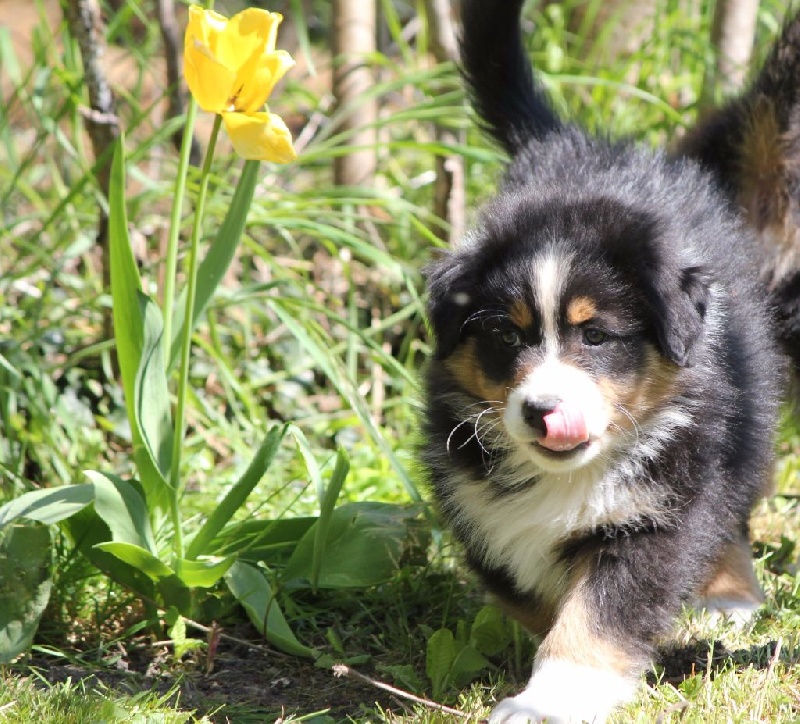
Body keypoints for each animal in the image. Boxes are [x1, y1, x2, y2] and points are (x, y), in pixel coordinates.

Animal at [421, 1, 797, 721]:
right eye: (505, 337)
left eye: (594, 336)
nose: (542, 411)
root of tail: (578, 146)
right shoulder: (476, 503)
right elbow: (535, 592)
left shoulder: (661, 509)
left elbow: (598, 610)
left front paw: (550, 698)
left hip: (743, 409)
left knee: (737, 496)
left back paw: (727, 593)